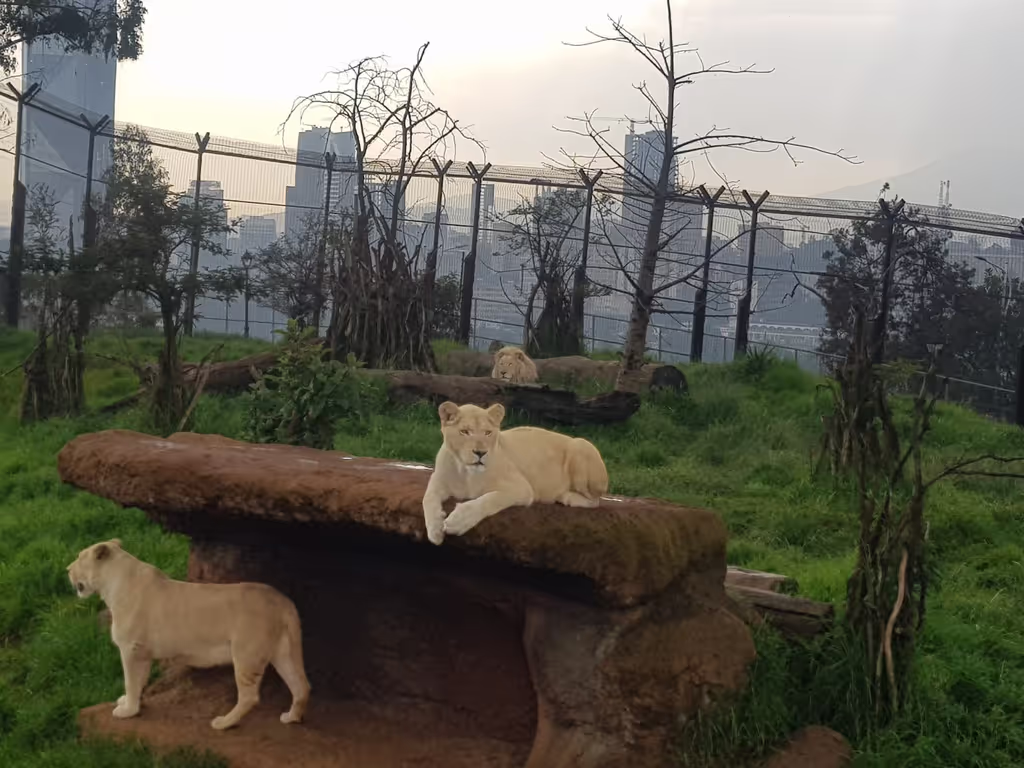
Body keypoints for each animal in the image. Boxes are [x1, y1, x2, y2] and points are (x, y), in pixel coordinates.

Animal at [67, 539, 310, 731]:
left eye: (79, 557)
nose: (67, 569)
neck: (113, 585)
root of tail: (282, 601)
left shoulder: (131, 648)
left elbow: (131, 680)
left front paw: (127, 710)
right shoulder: (143, 653)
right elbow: (139, 681)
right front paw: (130, 703)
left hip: (246, 654)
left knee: (249, 697)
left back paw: (223, 723)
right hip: (283, 652)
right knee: (302, 686)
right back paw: (291, 718)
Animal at [422, 402, 609, 545]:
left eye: (488, 432)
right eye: (464, 431)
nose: (480, 453)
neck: (466, 473)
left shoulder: (522, 488)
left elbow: (489, 499)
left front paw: (458, 521)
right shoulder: (437, 482)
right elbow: (427, 499)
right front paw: (435, 530)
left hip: (581, 445)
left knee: (596, 500)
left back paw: (566, 497)